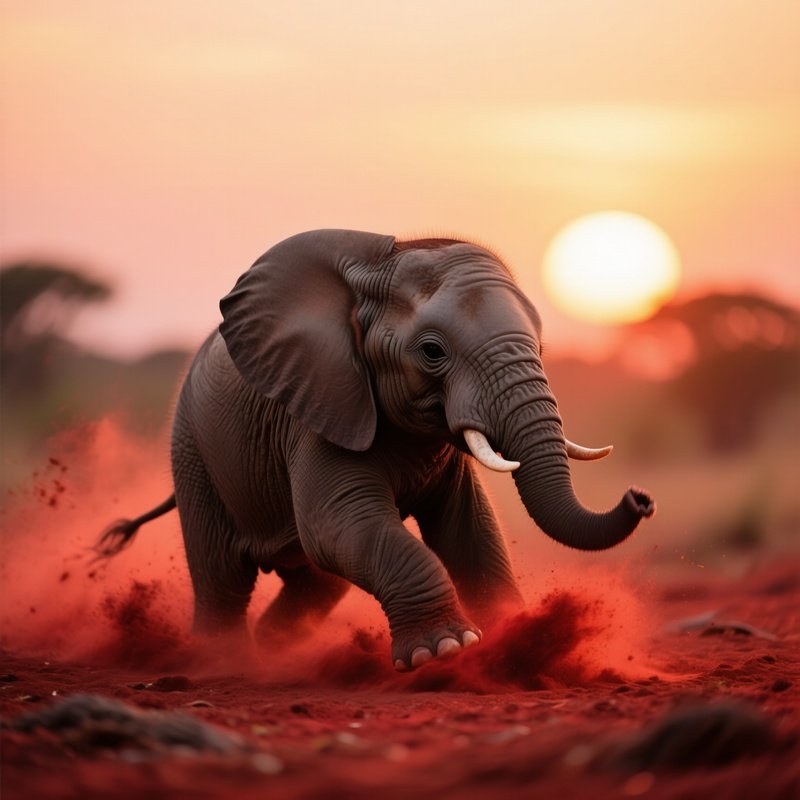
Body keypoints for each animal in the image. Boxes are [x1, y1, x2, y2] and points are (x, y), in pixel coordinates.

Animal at [97, 229, 655, 671]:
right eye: (432, 352)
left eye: (539, 347)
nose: (641, 498)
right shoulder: (318, 411)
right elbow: (340, 524)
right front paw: (445, 651)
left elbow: (469, 530)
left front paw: (518, 640)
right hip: (193, 448)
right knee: (224, 577)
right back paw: (224, 661)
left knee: (316, 582)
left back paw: (275, 651)